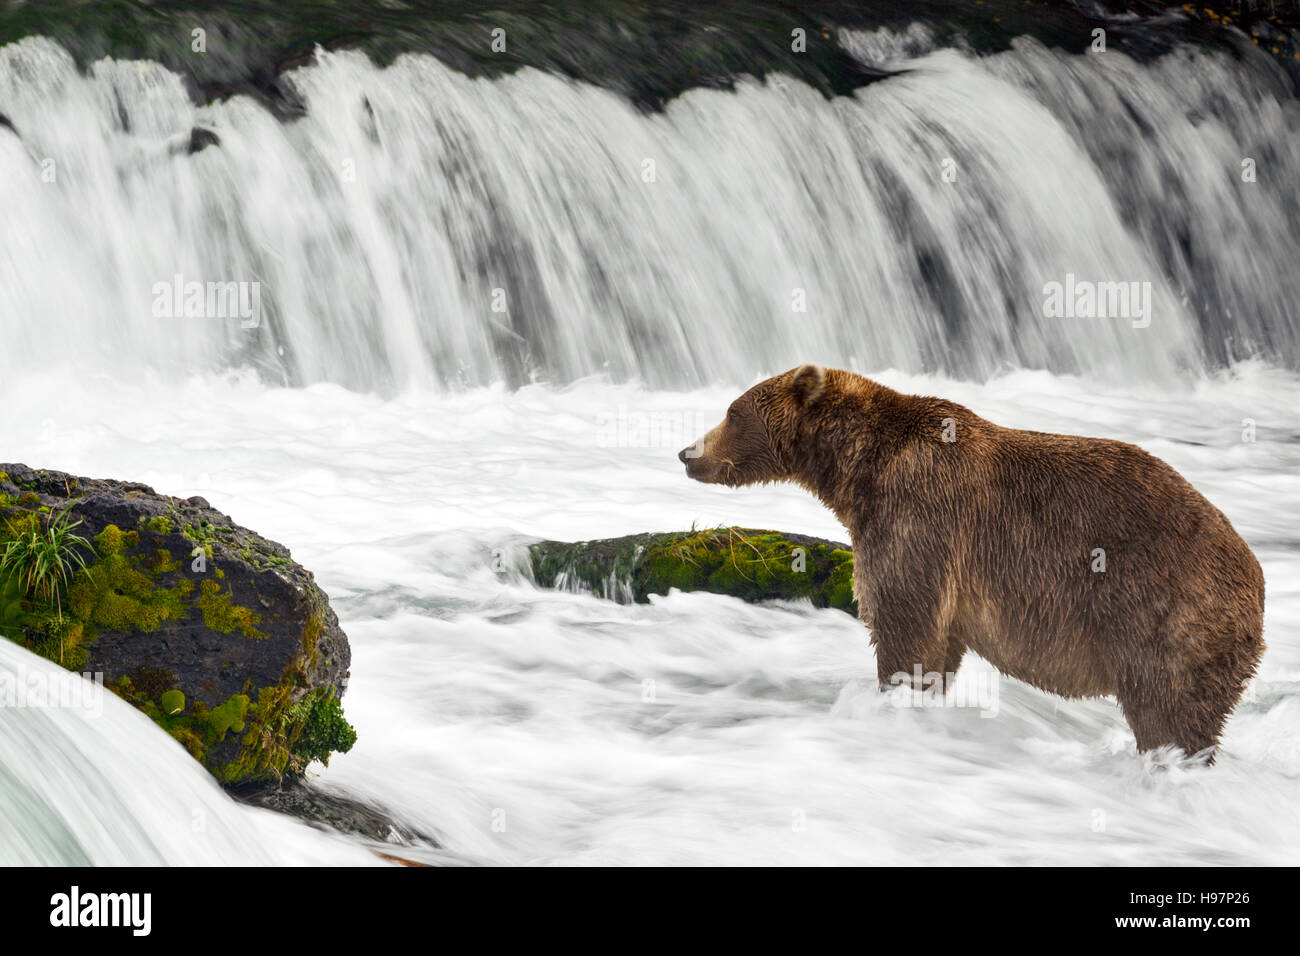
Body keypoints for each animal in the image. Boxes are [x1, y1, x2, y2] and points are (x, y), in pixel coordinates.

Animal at [676, 361, 1263, 759]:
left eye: (731, 411)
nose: (687, 453)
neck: (856, 470)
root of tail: (1256, 580)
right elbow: (937, 647)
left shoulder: (919, 518)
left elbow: (904, 622)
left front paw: (891, 699)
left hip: (1170, 616)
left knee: (1168, 711)